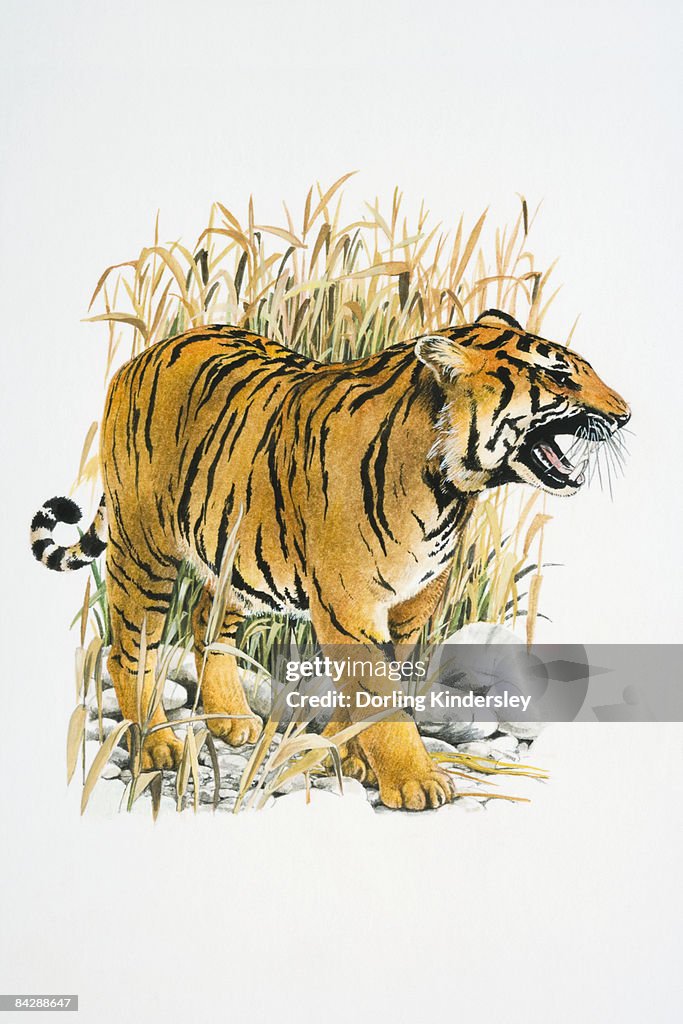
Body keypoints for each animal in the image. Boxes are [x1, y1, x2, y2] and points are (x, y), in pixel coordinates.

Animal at [30, 309, 630, 811]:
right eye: (562, 378)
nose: (625, 415)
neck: (452, 486)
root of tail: (143, 355)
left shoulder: (412, 605)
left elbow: (382, 685)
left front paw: (347, 754)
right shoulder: (349, 603)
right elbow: (380, 694)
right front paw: (417, 783)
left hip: (231, 556)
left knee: (205, 624)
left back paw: (234, 722)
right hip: (145, 548)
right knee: (129, 649)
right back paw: (158, 746)